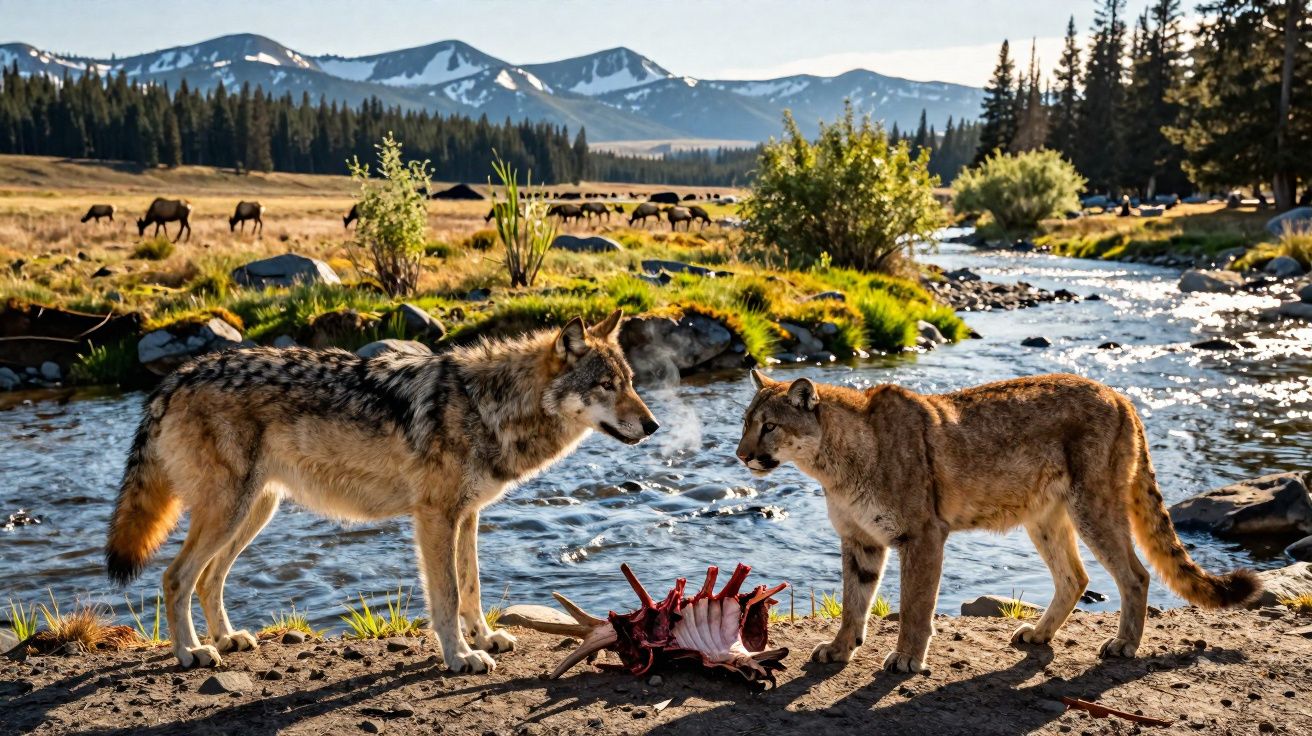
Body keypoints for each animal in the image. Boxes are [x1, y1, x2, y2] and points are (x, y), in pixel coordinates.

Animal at [105, 310, 658, 672]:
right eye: (606, 385)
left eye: (630, 381)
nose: (653, 426)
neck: (487, 406)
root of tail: (176, 377)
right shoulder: (435, 517)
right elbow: (447, 595)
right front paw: (460, 656)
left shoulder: (468, 516)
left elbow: (472, 586)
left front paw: (484, 638)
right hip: (229, 512)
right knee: (176, 577)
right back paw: (191, 653)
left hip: (253, 513)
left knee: (208, 578)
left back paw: (227, 639)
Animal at [735, 371, 1258, 674]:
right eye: (744, 422)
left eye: (769, 425)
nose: (741, 455)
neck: (832, 463)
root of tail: (1118, 394)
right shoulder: (860, 539)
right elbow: (853, 600)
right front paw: (841, 648)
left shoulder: (922, 535)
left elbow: (916, 603)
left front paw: (907, 657)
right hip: (1046, 516)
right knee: (1075, 575)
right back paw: (1039, 634)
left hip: (1093, 506)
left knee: (1135, 574)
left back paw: (1123, 644)